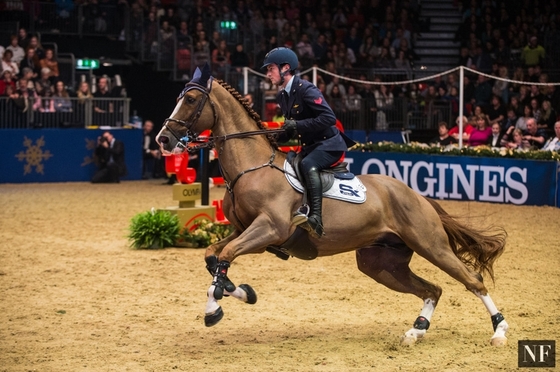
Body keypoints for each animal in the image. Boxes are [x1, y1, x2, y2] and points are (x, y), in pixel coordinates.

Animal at [156, 66, 508, 346]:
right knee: (433, 289)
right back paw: (416, 331)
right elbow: (213, 255)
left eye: (190, 100)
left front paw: (214, 307)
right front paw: (235, 290)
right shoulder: (247, 232)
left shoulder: (269, 229)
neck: (251, 166)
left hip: (430, 245)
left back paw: (499, 331)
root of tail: (418, 196)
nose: (163, 139)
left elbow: (226, 255)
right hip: (380, 262)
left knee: (472, 280)